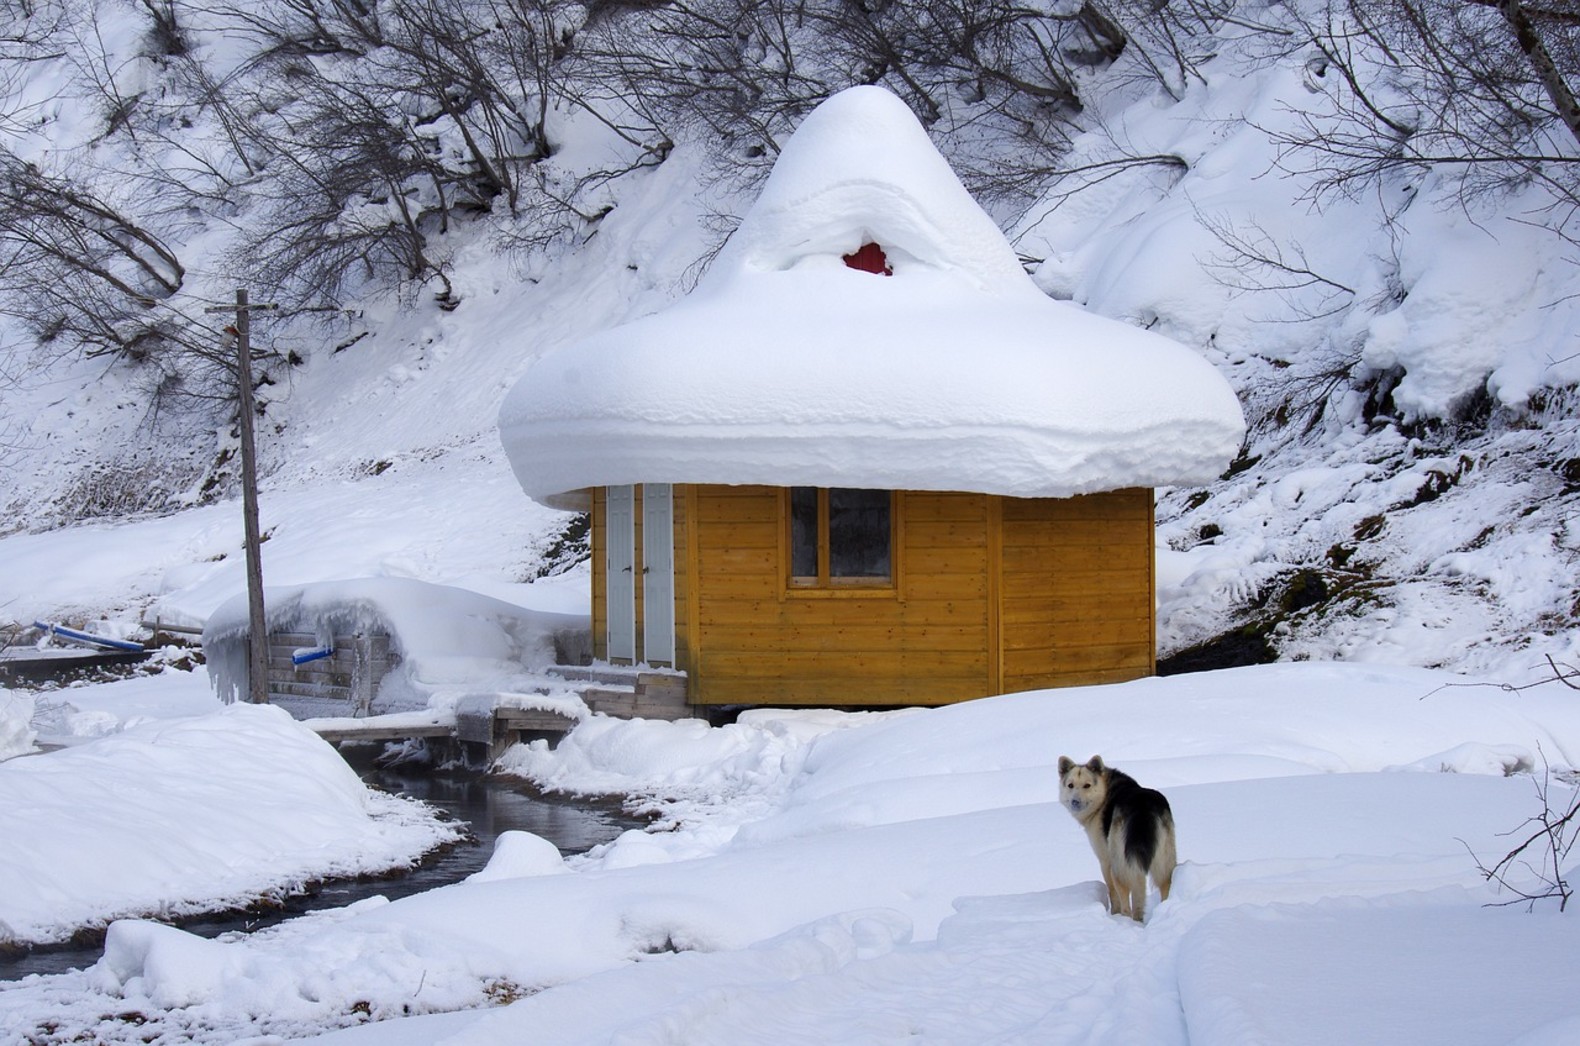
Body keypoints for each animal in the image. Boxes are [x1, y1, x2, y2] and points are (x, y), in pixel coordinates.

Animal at [1061, 758, 1175, 922]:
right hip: (1164, 859)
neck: (1104, 792)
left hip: (1120, 865)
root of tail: (1143, 806)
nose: (1075, 802)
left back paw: (1127, 920)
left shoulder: (1105, 860)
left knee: (1127, 895)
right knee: (1164, 884)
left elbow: (1112, 892)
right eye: (1070, 785)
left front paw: (1114, 913)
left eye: (1087, 785)